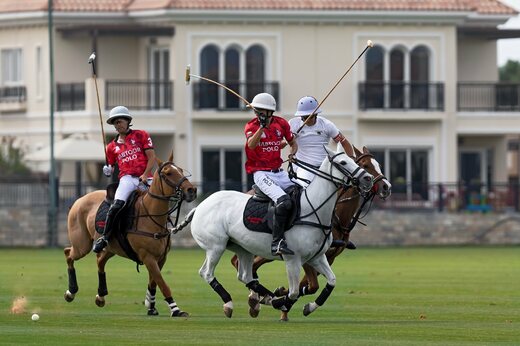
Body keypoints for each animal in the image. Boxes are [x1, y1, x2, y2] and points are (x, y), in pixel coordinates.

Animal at [63, 153, 197, 316]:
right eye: (168, 173)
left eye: (181, 171)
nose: (191, 190)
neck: (151, 215)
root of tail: (78, 200)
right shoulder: (147, 256)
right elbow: (162, 283)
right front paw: (175, 309)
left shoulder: (161, 258)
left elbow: (153, 282)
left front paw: (151, 306)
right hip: (82, 245)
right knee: (68, 253)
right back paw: (71, 292)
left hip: (111, 248)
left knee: (99, 260)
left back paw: (101, 296)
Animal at [187, 146, 374, 318]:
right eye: (343, 162)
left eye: (354, 161)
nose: (368, 178)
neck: (313, 209)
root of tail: (199, 206)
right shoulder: (293, 259)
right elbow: (294, 291)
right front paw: (281, 303)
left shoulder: (317, 257)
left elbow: (331, 282)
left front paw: (308, 306)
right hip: (215, 247)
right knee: (207, 273)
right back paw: (230, 303)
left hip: (243, 248)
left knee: (245, 276)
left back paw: (266, 298)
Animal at [232, 145, 390, 320]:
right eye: (365, 165)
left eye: (378, 165)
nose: (386, 187)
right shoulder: (306, 257)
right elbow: (310, 285)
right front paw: (283, 304)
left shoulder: (328, 257)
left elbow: (310, 284)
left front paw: (283, 299)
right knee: (243, 263)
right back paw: (255, 300)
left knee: (245, 264)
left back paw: (257, 300)